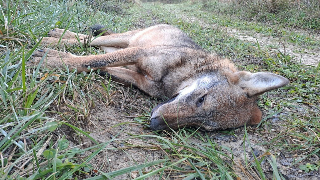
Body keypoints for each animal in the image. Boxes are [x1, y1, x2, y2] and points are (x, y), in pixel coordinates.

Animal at [33, 23, 290, 131]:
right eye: (202, 99)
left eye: (201, 127)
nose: (155, 124)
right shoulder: (140, 53)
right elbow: (90, 61)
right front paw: (54, 59)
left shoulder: (138, 76)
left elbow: (98, 66)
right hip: (129, 40)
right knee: (89, 39)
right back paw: (53, 37)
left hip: (124, 44)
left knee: (94, 44)